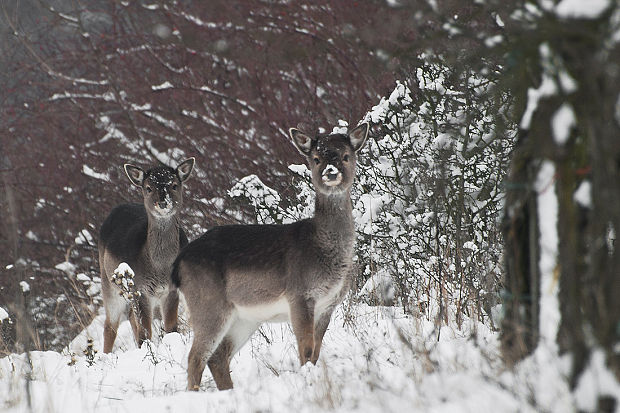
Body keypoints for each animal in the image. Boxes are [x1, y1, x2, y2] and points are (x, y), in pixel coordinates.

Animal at [98, 157, 194, 350]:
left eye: (174, 185)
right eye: (149, 187)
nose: (163, 202)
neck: (159, 269)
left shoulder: (171, 290)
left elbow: (171, 328)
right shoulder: (140, 288)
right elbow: (145, 332)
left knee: (130, 317)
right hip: (108, 281)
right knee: (110, 325)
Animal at [170, 122, 368, 390]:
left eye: (346, 156)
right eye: (316, 158)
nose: (330, 172)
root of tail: (178, 263)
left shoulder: (329, 304)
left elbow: (316, 351)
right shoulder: (299, 294)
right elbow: (306, 350)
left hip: (243, 318)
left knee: (218, 356)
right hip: (207, 303)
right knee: (196, 357)